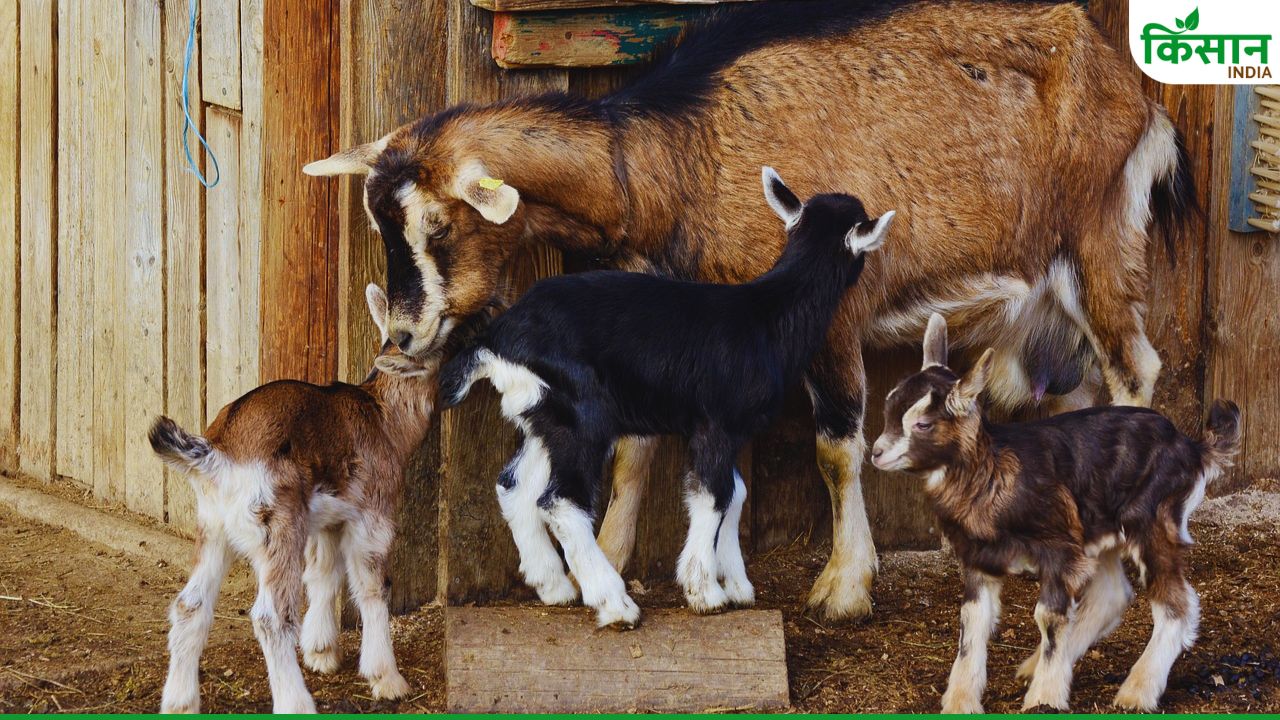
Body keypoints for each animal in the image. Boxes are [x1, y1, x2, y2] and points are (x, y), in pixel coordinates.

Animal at [150, 285, 436, 714]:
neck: (384, 417)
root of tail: (217, 453)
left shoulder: (328, 519)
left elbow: (323, 574)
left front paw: (321, 652)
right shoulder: (373, 515)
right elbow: (373, 586)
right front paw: (386, 678)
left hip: (214, 528)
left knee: (190, 604)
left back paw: (180, 702)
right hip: (277, 526)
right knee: (271, 617)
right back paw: (295, 703)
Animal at [436, 169, 892, 625]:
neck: (767, 315)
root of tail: (498, 340)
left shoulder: (725, 430)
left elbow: (736, 494)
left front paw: (737, 585)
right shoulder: (717, 424)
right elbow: (714, 496)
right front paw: (704, 591)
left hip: (543, 417)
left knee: (514, 486)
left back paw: (554, 586)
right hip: (582, 418)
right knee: (561, 501)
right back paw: (613, 603)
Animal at [870, 313, 1241, 713]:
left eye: (922, 423)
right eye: (888, 410)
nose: (877, 453)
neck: (993, 473)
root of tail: (1192, 447)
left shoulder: (1059, 550)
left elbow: (1048, 617)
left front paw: (1044, 698)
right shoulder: (979, 558)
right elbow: (972, 622)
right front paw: (960, 701)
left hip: (1152, 520)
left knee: (1177, 605)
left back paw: (1137, 691)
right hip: (1098, 530)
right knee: (1112, 594)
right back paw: (1038, 668)